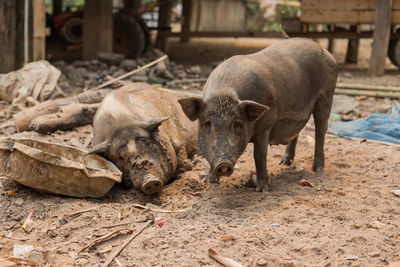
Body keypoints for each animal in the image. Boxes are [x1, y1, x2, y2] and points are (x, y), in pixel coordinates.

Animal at [178, 38, 338, 193]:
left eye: (237, 124)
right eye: (207, 123)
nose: (223, 163)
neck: (224, 90)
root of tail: (325, 51)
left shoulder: (266, 124)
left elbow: (259, 155)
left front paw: (262, 189)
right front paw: (208, 182)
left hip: (326, 96)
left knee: (320, 129)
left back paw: (318, 169)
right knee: (298, 130)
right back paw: (284, 163)